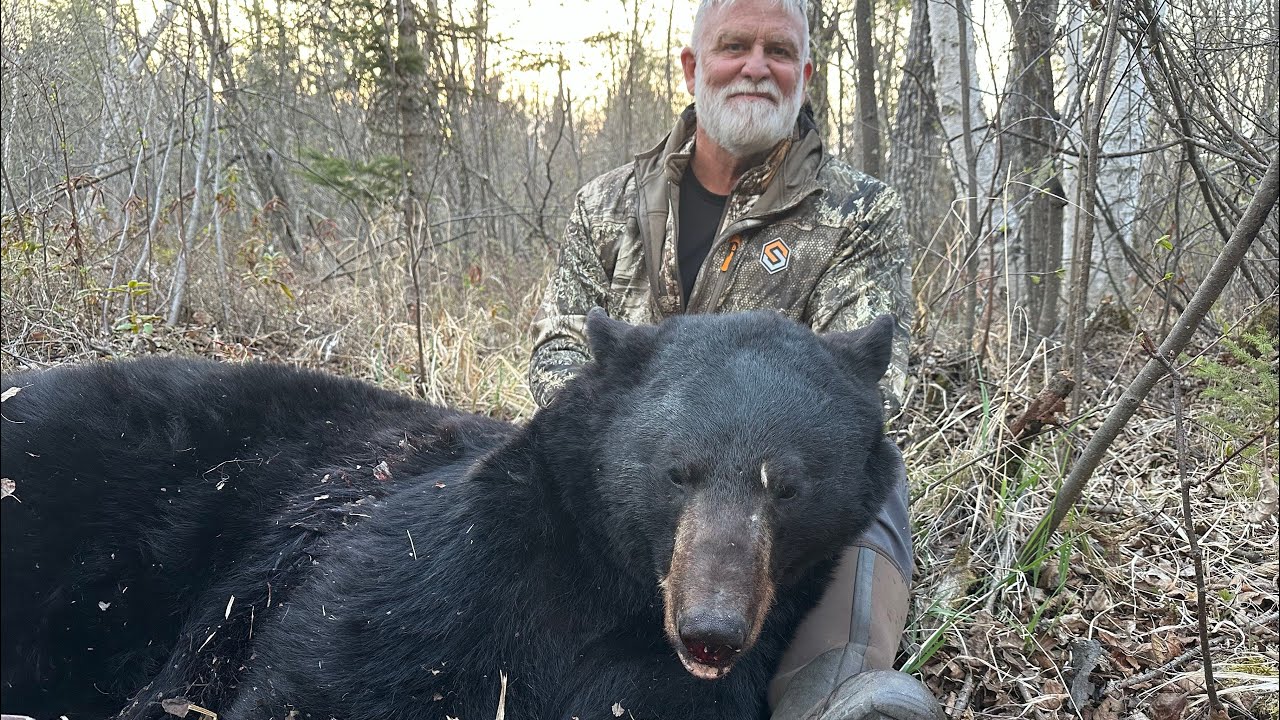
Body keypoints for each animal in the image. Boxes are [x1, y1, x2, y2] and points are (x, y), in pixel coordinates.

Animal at [0, 309, 900, 720]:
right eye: (678, 471)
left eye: (788, 486)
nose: (711, 629)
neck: (600, 590)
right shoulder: (438, 572)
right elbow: (320, 673)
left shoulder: (664, 675)